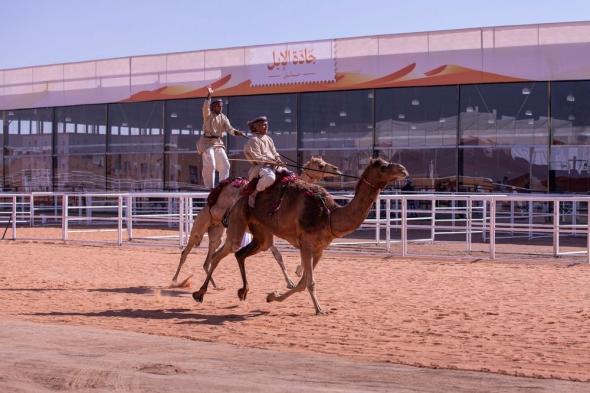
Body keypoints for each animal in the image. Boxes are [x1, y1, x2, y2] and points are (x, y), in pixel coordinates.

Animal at [169, 155, 342, 288]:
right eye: (320, 165)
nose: (337, 169)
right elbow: (279, 255)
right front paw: (294, 277)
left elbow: (279, 256)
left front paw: (292, 279)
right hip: (201, 224)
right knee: (186, 251)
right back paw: (174, 280)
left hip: (216, 229)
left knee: (209, 257)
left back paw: (215, 285)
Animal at [192, 158, 410, 314]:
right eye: (383, 166)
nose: (403, 170)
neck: (330, 216)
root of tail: (241, 194)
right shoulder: (306, 243)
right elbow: (309, 281)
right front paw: (319, 309)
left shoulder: (319, 249)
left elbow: (303, 281)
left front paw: (272, 296)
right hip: (238, 219)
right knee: (222, 253)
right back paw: (200, 293)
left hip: (262, 233)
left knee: (241, 253)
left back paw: (243, 291)